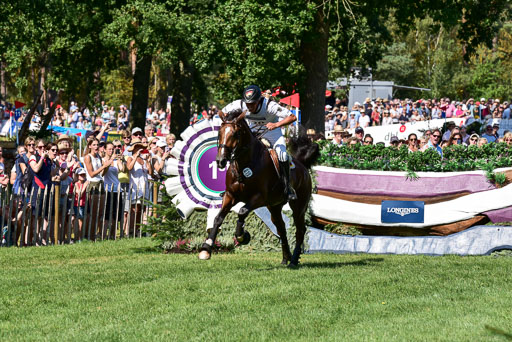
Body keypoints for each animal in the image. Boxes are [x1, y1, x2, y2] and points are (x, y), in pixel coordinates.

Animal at [198, 110, 318, 268]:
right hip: (274, 207)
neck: (243, 165)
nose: (220, 161)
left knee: (300, 230)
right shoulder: (230, 195)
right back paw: (285, 258)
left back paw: (293, 260)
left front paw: (242, 236)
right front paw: (206, 249)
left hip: (299, 206)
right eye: (220, 132)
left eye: (235, 134)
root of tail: (302, 165)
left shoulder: (259, 198)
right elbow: (218, 218)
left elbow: (242, 211)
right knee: (281, 228)